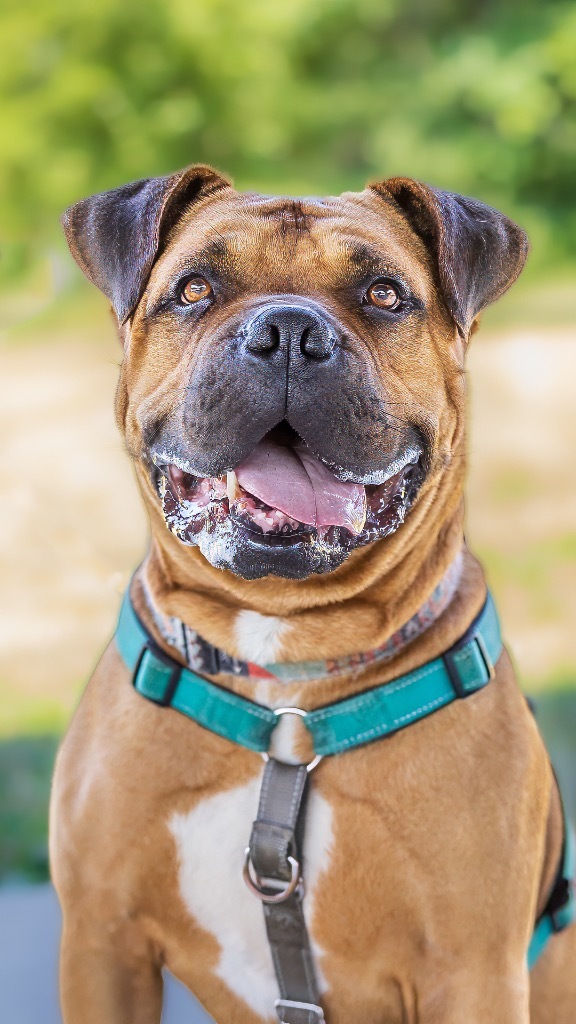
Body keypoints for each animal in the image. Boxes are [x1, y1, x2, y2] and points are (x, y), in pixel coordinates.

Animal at [50, 163, 573, 1019]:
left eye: (384, 294)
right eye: (194, 289)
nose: (289, 333)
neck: (283, 687)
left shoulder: (475, 973)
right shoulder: (101, 943)